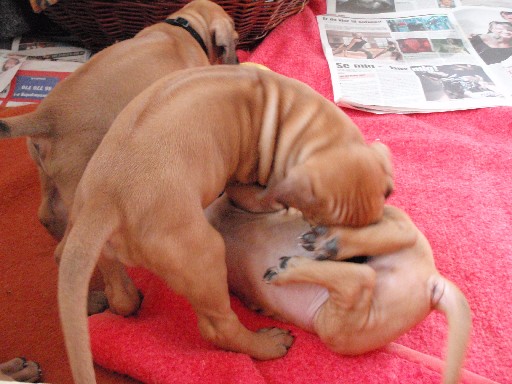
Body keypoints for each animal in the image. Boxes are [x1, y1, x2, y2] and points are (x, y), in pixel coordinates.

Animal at [55, 64, 392, 382]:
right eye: (321, 230)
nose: (362, 262)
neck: (295, 115)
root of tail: (105, 201)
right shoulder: (250, 188)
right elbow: (265, 197)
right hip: (203, 258)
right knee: (218, 328)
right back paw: (266, 345)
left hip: (98, 247)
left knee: (115, 293)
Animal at [206, 196, 470, 382]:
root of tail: (432, 279)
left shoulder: (254, 204)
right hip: (336, 324)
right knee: (370, 266)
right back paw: (329, 245)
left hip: (336, 330)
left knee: (365, 273)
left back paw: (299, 262)